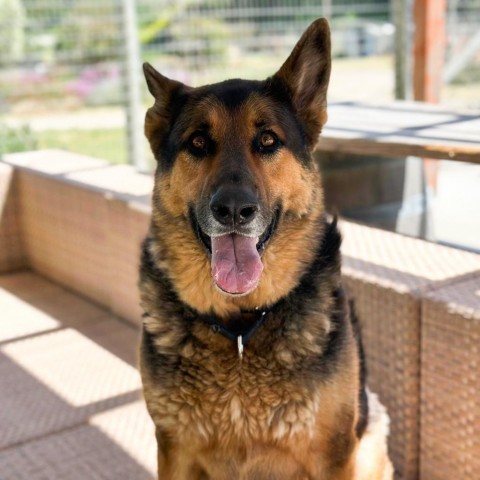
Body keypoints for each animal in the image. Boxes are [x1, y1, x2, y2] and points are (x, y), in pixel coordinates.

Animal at [140, 18, 394, 480]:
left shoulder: (334, 453)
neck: (241, 325)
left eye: (268, 140)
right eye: (198, 143)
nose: (233, 210)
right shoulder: (174, 450)